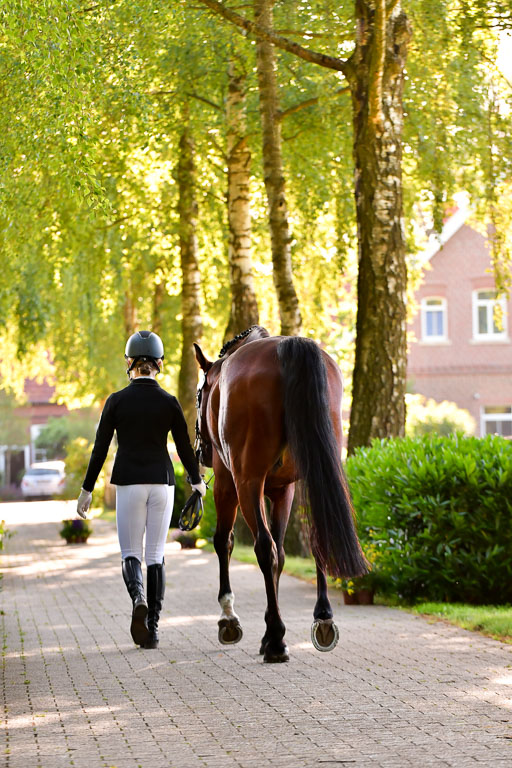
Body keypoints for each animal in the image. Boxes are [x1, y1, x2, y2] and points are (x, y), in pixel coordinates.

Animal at [193, 326, 368, 663]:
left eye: (198, 397)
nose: (202, 451)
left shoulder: (228, 483)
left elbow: (226, 541)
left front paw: (230, 618)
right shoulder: (283, 489)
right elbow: (282, 553)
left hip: (245, 481)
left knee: (263, 547)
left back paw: (275, 640)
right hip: (316, 470)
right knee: (313, 539)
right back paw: (322, 619)